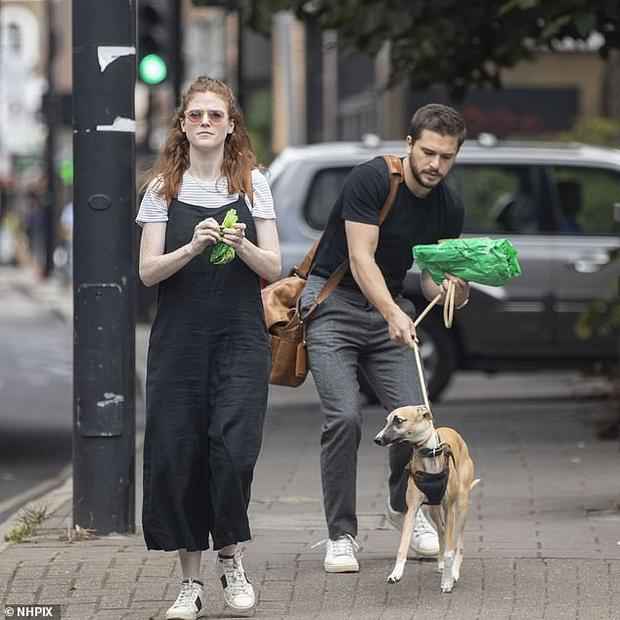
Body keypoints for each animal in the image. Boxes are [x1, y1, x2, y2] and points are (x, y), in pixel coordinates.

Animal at [372, 404, 480, 592]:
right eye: (386, 421)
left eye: (398, 420)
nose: (377, 439)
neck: (430, 453)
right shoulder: (412, 509)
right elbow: (403, 545)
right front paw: (396, 573)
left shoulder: (449, 509)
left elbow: (451, 550)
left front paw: (447, 582)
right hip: (433, 509)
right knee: (442, 532)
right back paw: (442, 564)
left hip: (461, 507)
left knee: (458, 544)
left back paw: (454, 573)